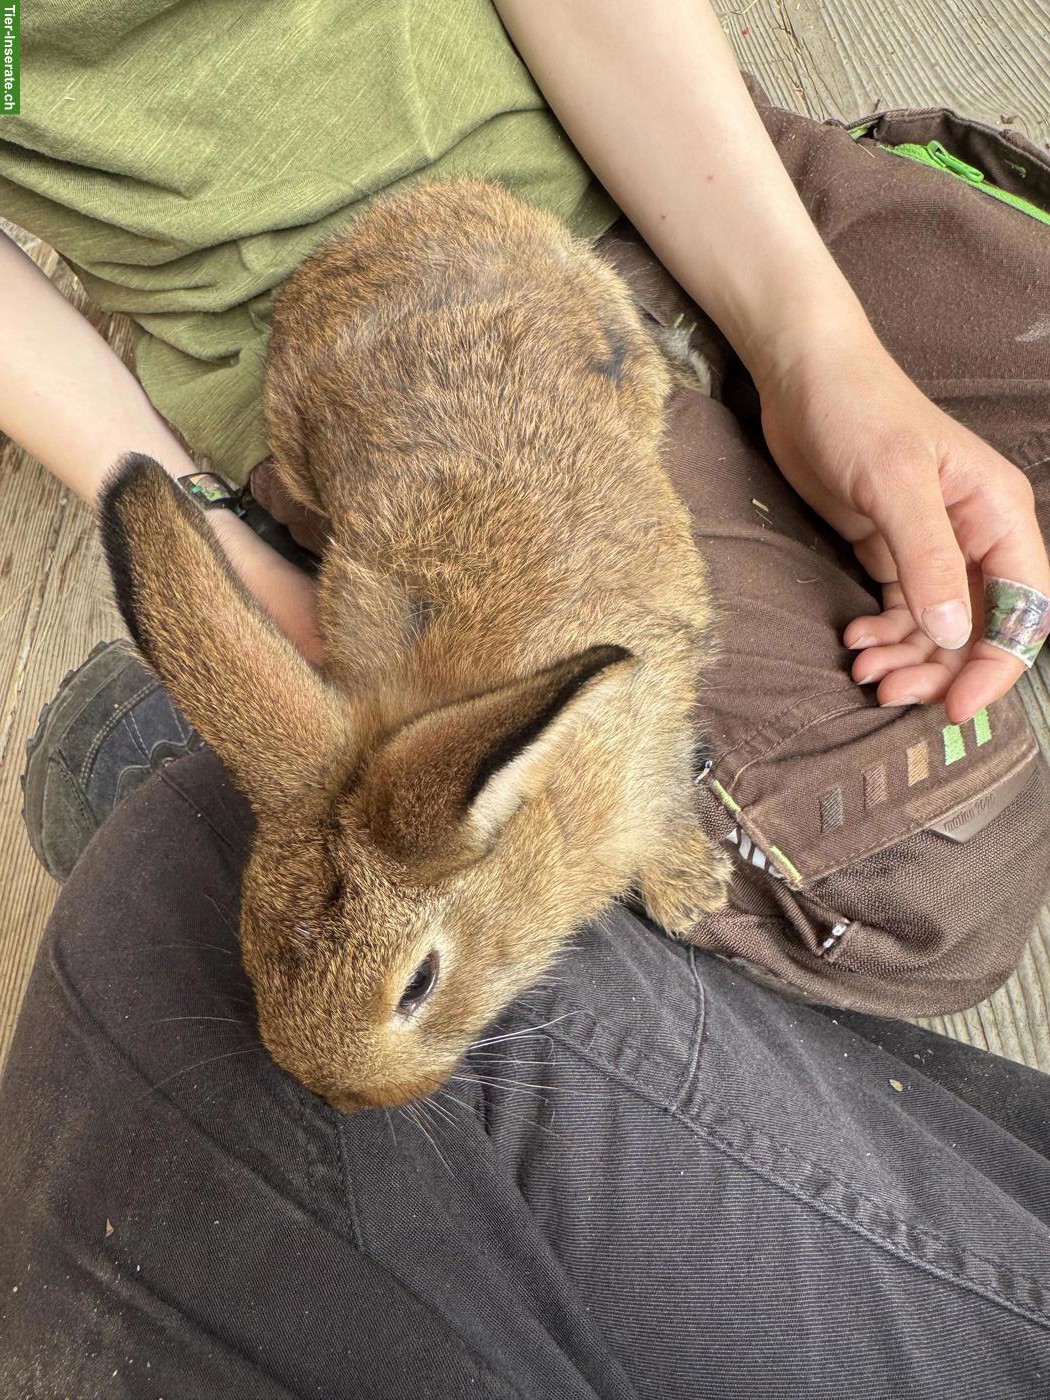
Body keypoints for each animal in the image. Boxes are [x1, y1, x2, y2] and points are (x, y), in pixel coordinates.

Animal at [99, 178, 731, 1114]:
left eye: (420, 984)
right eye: (251, 947)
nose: (340, 1099)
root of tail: (411, 208)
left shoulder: (651, 735)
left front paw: (692, 893)